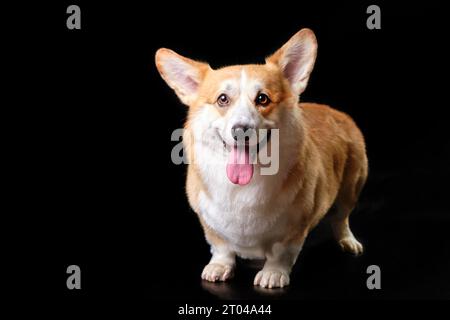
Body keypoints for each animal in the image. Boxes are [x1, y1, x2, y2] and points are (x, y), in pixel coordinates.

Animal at [156, 28, 368, 288]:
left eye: (263, 99)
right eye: (222, 99)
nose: (241, 130)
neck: (243, 187)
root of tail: (335, 111)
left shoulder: (295, 227)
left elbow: (281, 252)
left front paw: (273, 273)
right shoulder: (209, 223)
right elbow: (220, 247)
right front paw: (219, 266)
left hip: (351, 188)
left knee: (341, 218)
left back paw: (348, 241)